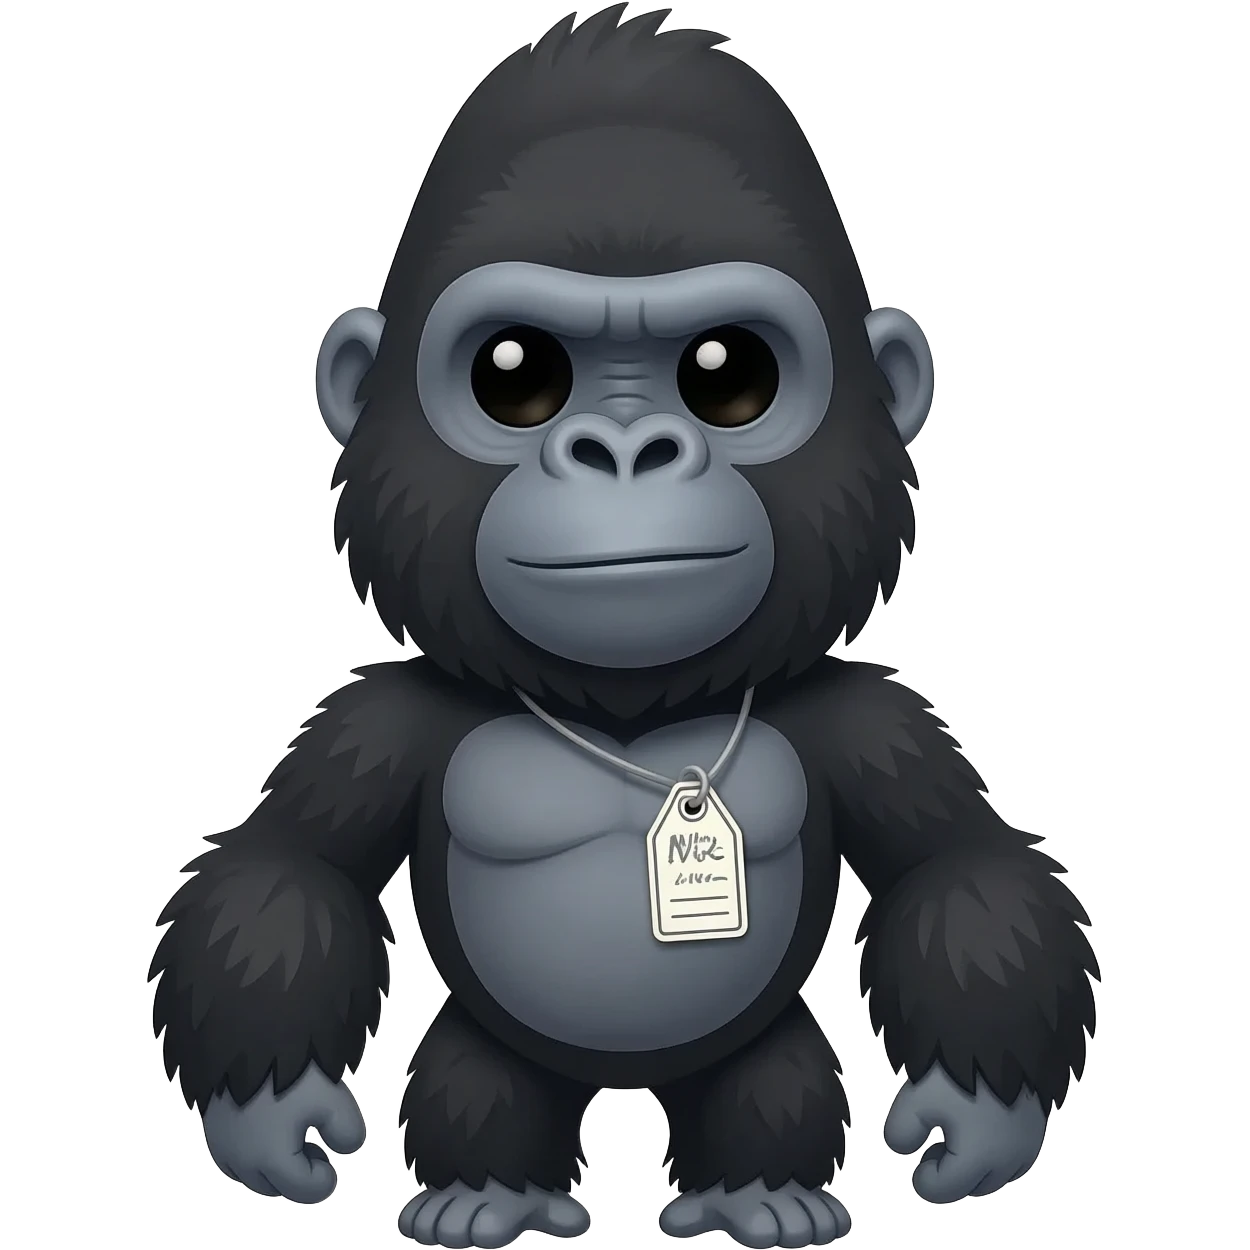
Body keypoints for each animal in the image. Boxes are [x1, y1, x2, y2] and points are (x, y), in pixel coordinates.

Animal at [147, 6, 1101, 1248]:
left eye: (728, 373)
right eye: (514, 374)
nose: (624, 450)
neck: (628, 710)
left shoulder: (875, 718)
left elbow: (955, 866)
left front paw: (977, 1110)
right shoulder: (372, 719)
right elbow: (291, 866)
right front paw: (270, 1109)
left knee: (769, 1082)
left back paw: (761, 1192)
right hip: (494, 1056)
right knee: (479, 1082)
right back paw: (485, 1193)